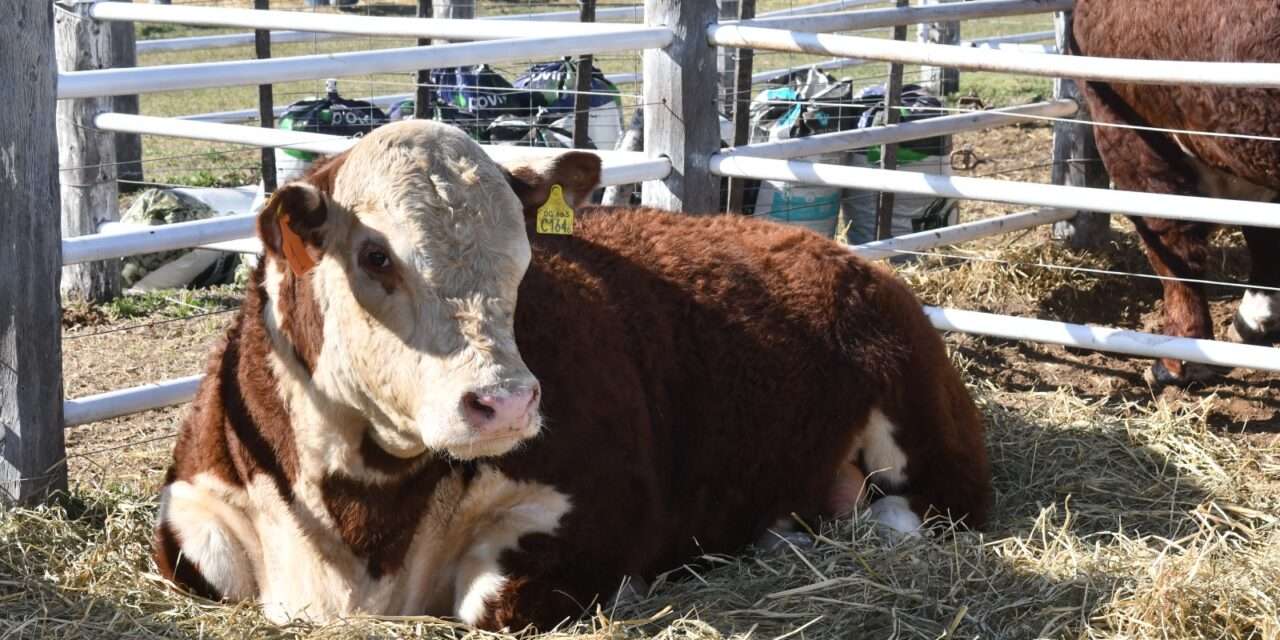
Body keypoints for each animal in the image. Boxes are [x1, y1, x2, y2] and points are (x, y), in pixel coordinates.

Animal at [154, 120, 993, 629]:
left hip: (924, 430)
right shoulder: (189, 513)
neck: (364, 523)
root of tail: (839, 253)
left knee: (922, 511)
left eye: (525, 252)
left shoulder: (598, 508)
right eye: (375, 254)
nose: (505, 403)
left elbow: (494, 602)